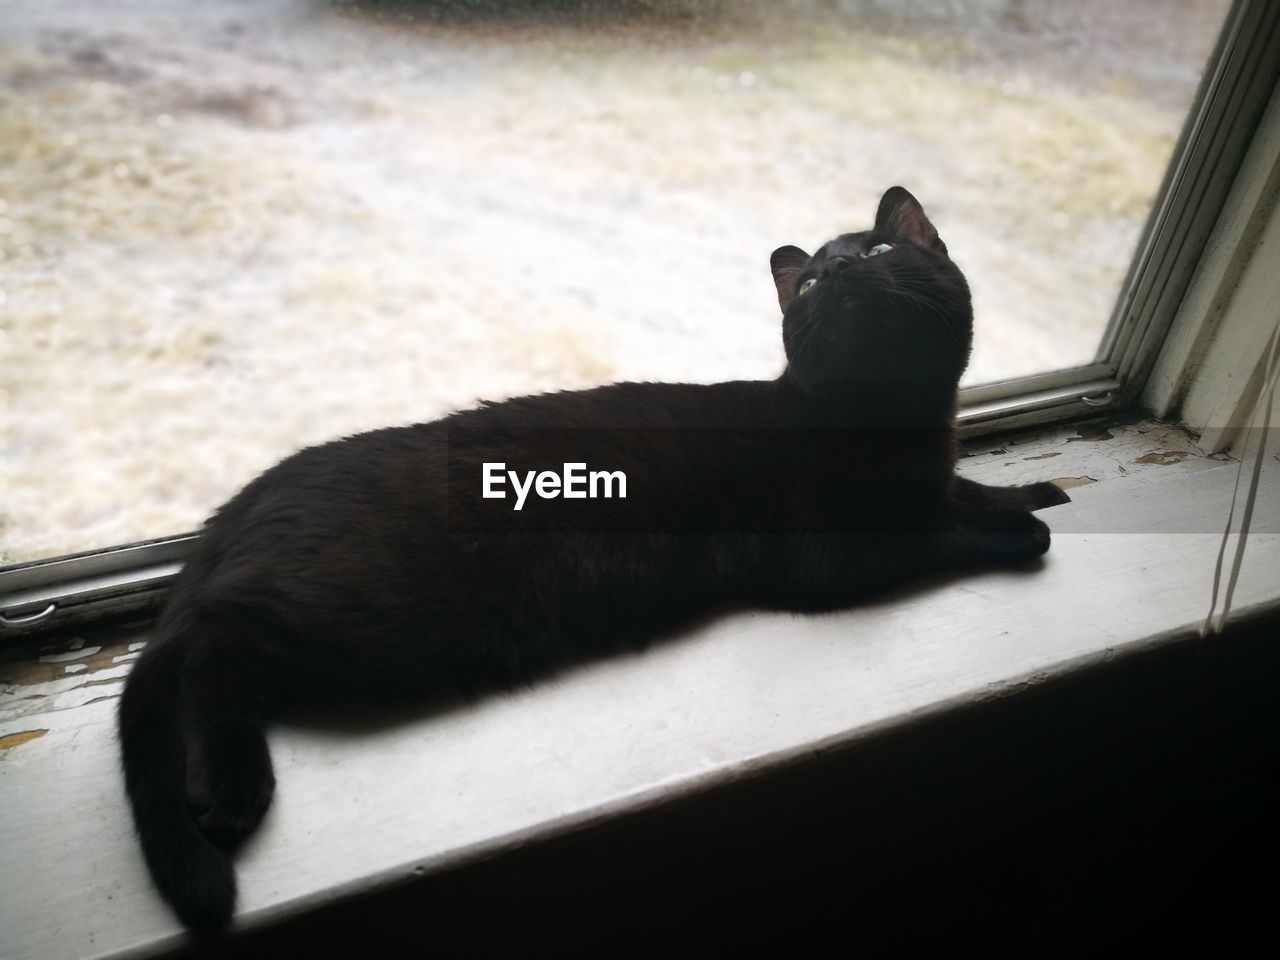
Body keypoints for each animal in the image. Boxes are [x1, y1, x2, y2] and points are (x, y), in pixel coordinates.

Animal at [117, 185, 1070, 931]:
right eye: (806, 281)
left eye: (872, 250)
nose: (832, 274)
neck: (898, 426)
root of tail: (247, 501)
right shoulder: (825, 554)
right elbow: (934, 530)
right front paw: (1020, 530)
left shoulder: (923, 482)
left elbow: (960, 493)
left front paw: (1033, 492)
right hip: (368, 610)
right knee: (213, 644)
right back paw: (231, 790)